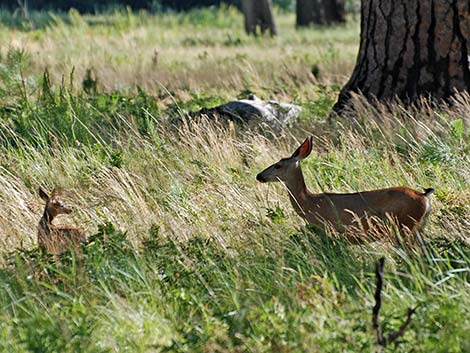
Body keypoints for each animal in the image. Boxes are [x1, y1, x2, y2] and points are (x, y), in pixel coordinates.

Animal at [258, 137, 434, 239]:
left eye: (278, 165)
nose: (259, 176)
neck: (310, 203)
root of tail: (424, 196)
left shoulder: (332, 231)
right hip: (418, 228)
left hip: (404, 226)